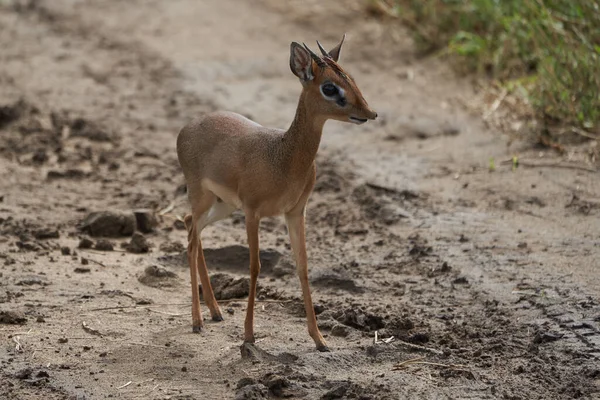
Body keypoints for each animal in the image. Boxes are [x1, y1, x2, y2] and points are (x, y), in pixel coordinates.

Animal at [176, 36, 378, 352]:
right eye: (329, 87)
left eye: (350, 77)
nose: (369, 114)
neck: (283, 156)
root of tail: (186, 129)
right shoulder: (253, 212)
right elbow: (255, 267)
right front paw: (248, 336)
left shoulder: (295, 212)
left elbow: (303, 266)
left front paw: (319, 339)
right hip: (203, 197)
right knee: (192, 241)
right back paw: (197, 321)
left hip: (222, 205)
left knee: (189, 227)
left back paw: (216, 311)